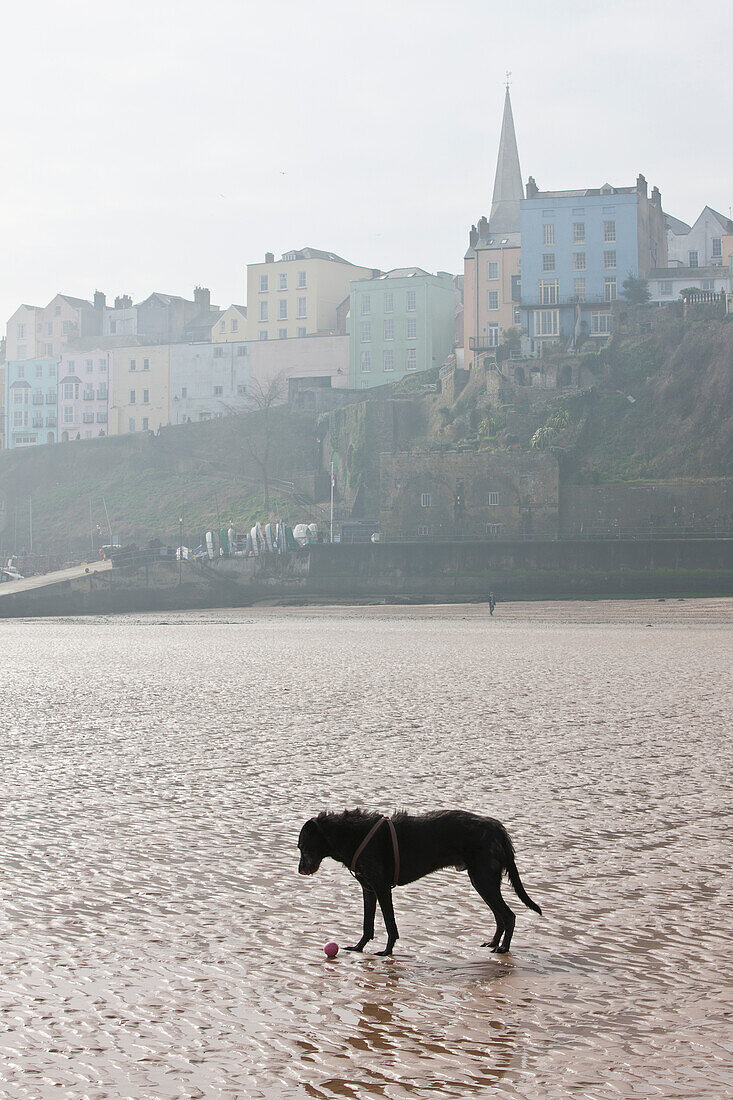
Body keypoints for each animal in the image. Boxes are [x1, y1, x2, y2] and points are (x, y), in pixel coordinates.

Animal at [294, 809, 539, 954]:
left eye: (303, 846)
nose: (300, 870)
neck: (352, 834)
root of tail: (498, 830)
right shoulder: (368, 889)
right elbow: (367, 924)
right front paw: (358, 947)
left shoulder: (382, 888)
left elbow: (390, 925)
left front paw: (387, 951)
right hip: (481, 882)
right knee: (500, 916)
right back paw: (494, 942)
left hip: (484, 880)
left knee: (508, 915)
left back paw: (504, 947)